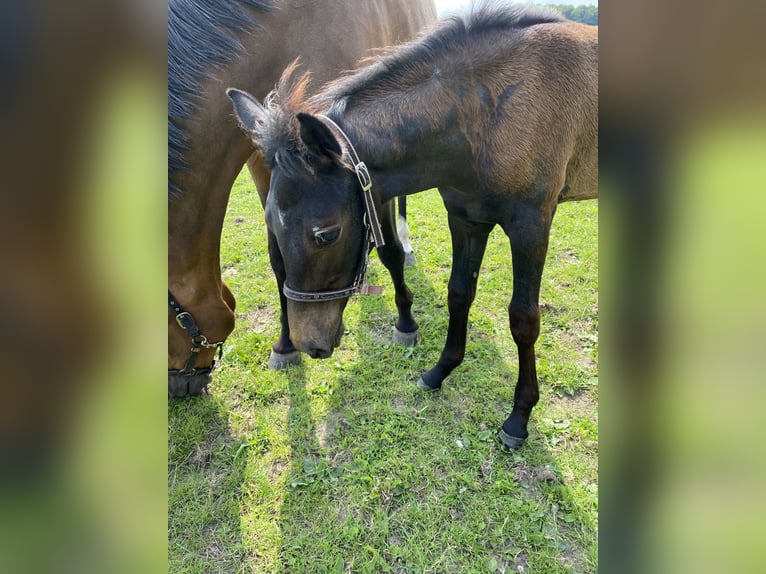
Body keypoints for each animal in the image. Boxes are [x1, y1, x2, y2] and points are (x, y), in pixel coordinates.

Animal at [168, 0, 438, 396]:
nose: (178, 390)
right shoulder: (267, 167)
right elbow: (280, 266)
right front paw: (284, 346)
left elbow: (388, 252)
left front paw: (406, 322)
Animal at [228, 4, 600, 450]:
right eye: (269, 222)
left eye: (326, 234)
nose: (308, 344)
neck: (486, 113)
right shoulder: (465, 218)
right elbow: (459, 293)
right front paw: (440, 371)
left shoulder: (532, 226)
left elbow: (524, 320)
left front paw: (519, 417)